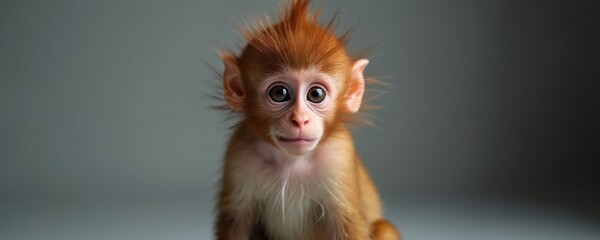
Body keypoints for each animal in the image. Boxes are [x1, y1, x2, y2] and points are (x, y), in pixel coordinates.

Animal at [214, 0, 398, 239]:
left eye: (316, 94)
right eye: (280, 93)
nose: (300, 120)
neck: (291, 163)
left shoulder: (339, 155)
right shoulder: (240, 153)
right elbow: (237, 222)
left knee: (384, 228)